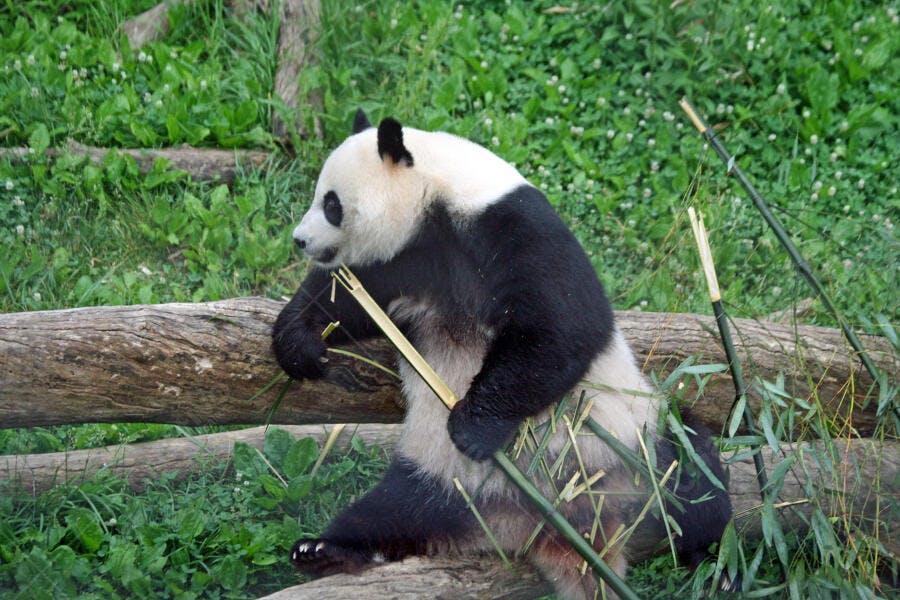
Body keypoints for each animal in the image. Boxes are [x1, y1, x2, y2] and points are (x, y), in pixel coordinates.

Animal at [273, 110, 732, 599]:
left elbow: (563, 323)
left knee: (690, 469)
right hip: (442, 477)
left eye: (332, 204)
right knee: (395, 510)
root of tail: (557, 523)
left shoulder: (510, 225)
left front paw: (472, 427)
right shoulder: (407, 260)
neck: (439, 195)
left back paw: (715, 561)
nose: (299, 240)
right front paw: (300, 345)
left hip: (635, 444)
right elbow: (346, 297)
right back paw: (323, 550)